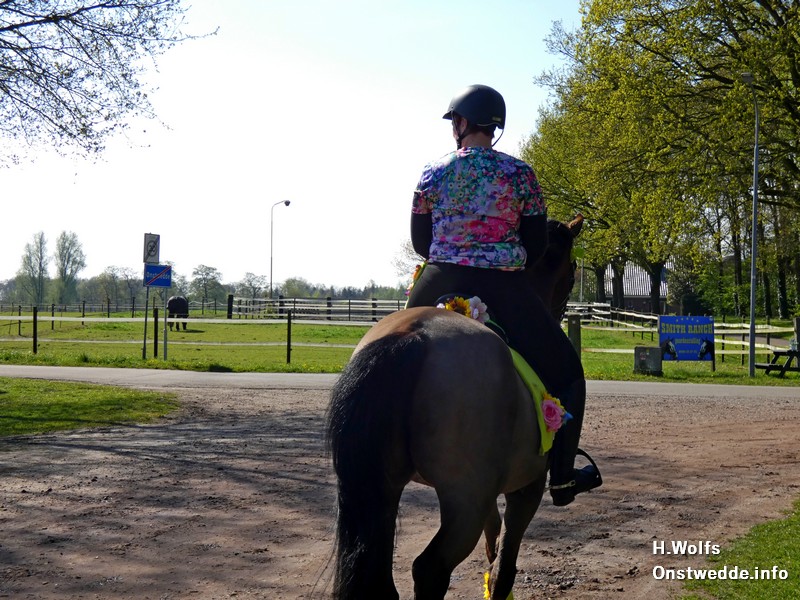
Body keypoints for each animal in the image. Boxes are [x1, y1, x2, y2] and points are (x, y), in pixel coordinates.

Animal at [326, 215, 585, 599]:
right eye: (570, 276)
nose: (561, 310)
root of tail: (413, 336)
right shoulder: (528, 486)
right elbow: (503, 569)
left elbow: (494, 543)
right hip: (464, 501)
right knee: (430, 569)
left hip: (382, 490)